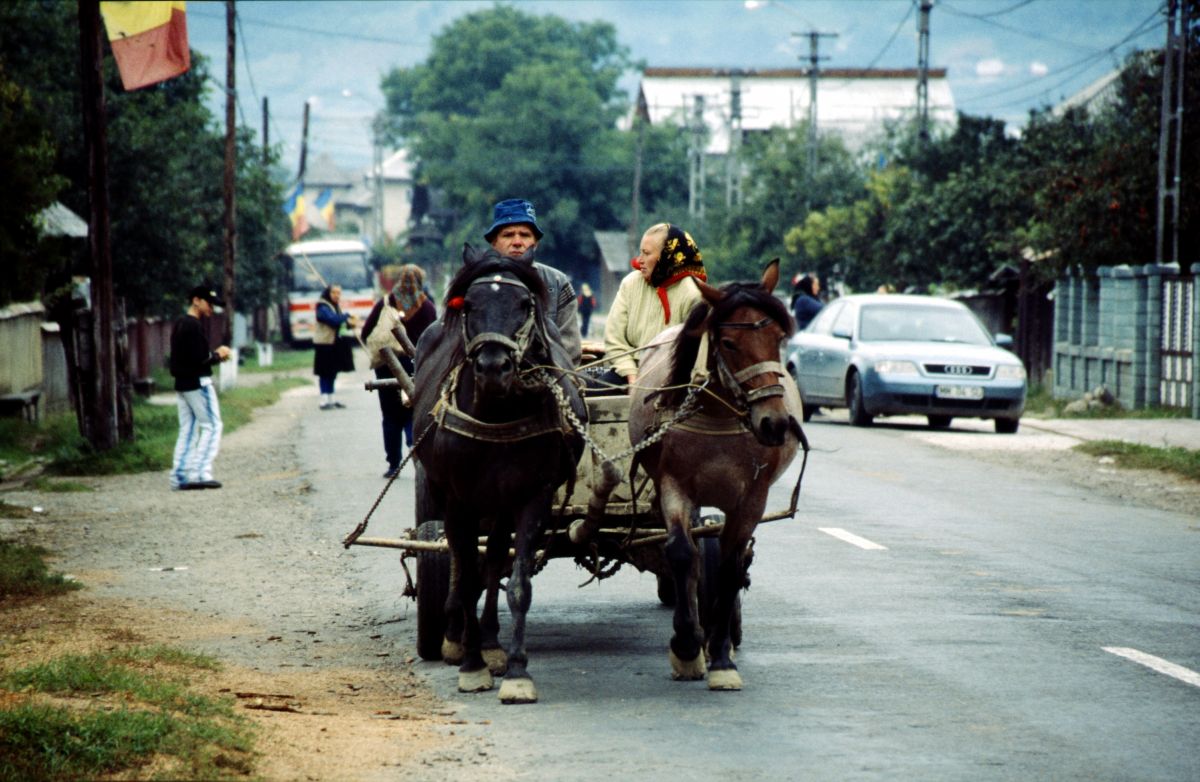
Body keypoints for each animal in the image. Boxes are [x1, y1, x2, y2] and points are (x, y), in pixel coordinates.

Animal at [410, 244, 583, 700]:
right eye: (469, 305)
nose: (492, 368)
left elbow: (517, 582)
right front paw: (471, 666)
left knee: (494, 561)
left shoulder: (533, 497)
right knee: (461, 560)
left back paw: (490, 642)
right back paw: (456, 636)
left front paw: (517, 671)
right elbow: (467, 573)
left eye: (524, 305)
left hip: (501, 504)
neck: (495, 412)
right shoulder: (459, 500)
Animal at [624, 257, 801, 690]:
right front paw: (687, 645)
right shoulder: (672, 484)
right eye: (729, 343)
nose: (774, 423)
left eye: (778, 339)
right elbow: (681, 552)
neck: (719, 414)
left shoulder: (752, 498)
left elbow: (731, 567)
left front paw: (720, 655)